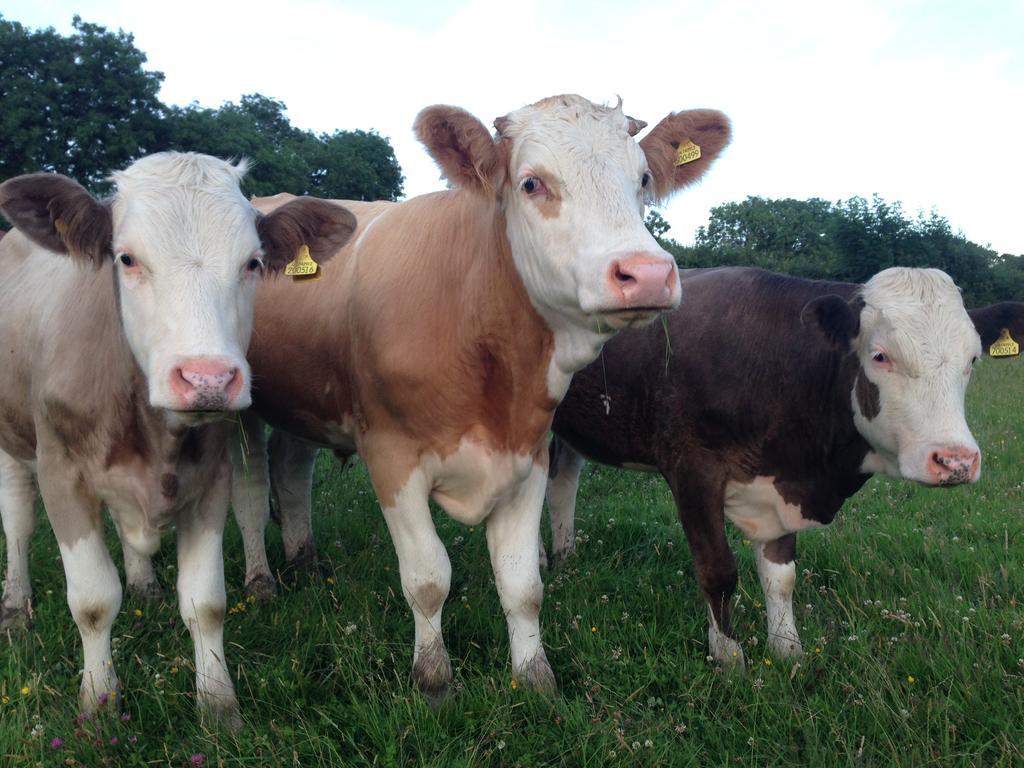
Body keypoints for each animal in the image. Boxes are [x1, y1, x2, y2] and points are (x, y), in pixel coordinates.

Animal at [544, 268, 983, 667]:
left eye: (973, 359)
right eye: (880, 356)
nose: (956, 460)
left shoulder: (782, 480)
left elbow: (781, 576)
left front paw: (787, 650)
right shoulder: (692, 471)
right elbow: (718, 571)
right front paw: (728, 659)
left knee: (564, 481)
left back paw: (565, 556)